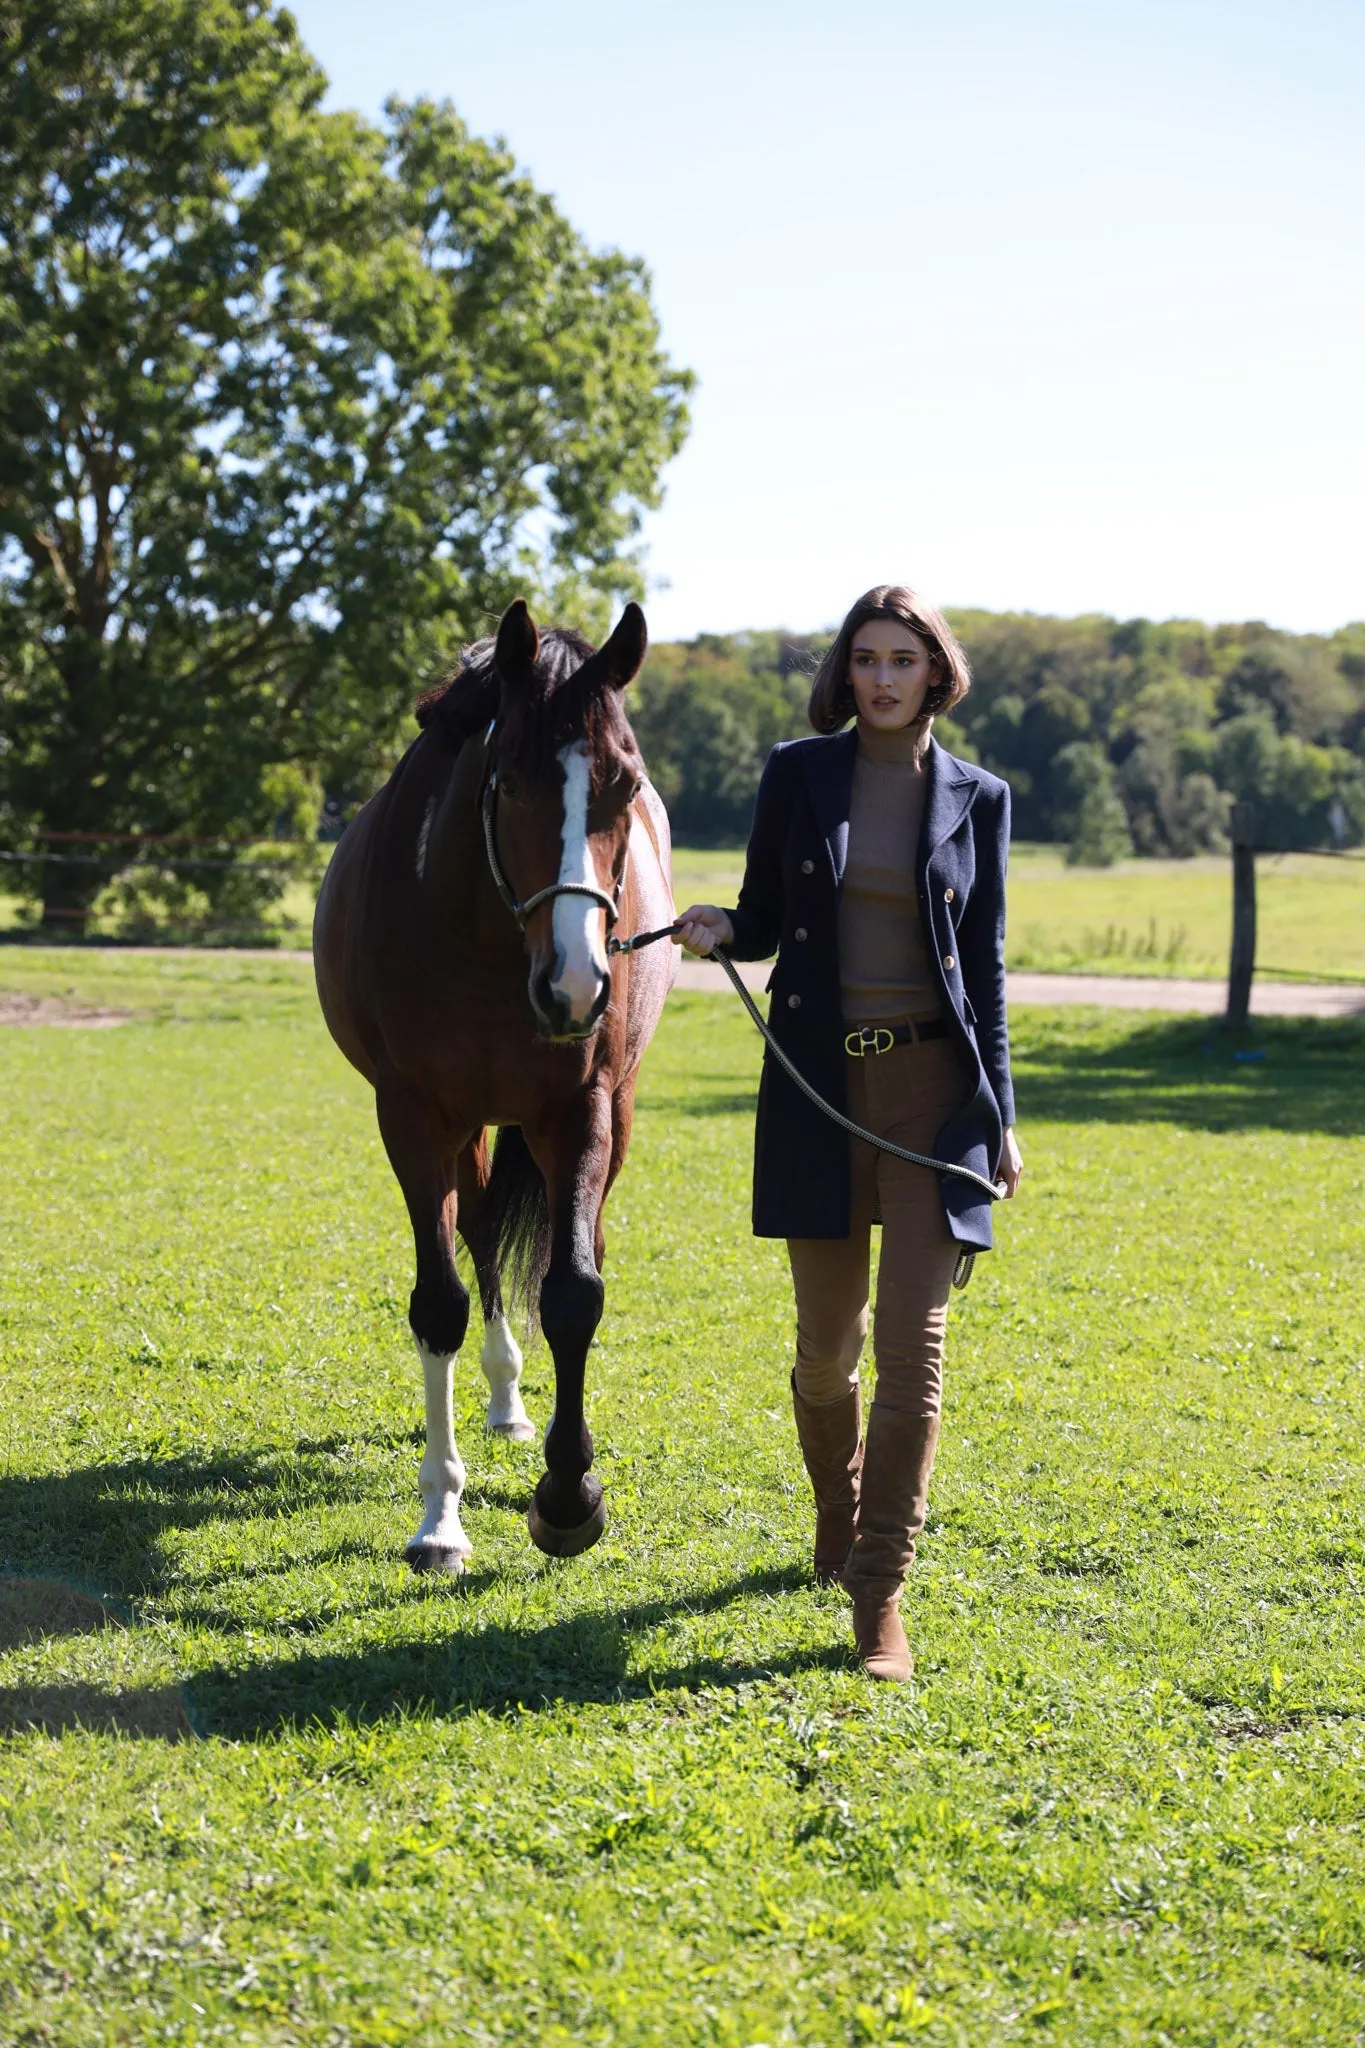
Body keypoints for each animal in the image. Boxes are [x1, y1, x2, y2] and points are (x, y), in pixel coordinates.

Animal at [311, 598, 671, 1556]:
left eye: (626, 786)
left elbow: (574, 1293)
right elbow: (440, 1301)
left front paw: (570, 1495)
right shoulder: (412, 1115)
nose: (577, 985)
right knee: (475, 1236)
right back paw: (505, 1398)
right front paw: (440, 1517)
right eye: (508, 783)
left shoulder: (579, 1110)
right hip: (468, 1127)